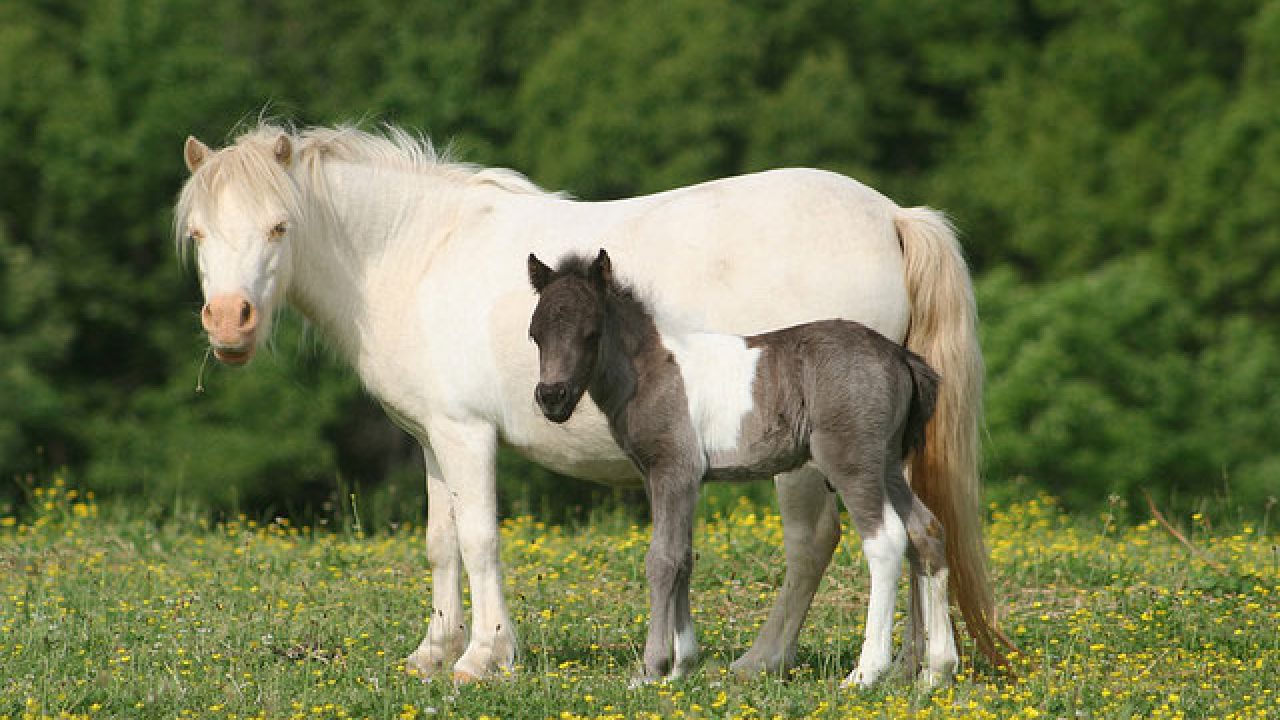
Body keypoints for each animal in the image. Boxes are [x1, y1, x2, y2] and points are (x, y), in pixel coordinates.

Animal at [527, 249, 959, 686]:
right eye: (535, 335)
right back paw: (937, 670)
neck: (652, 370)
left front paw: (652, 669)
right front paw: (681, 667)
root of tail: (899, 355)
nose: (552, 397)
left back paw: (866, 672)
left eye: (591, 333)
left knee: (885, 541)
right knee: (926, 530)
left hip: (851, 462)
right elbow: (684, 557)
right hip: (887, 463)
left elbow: (662, 559)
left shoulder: (673, 470)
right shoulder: (671, 479)